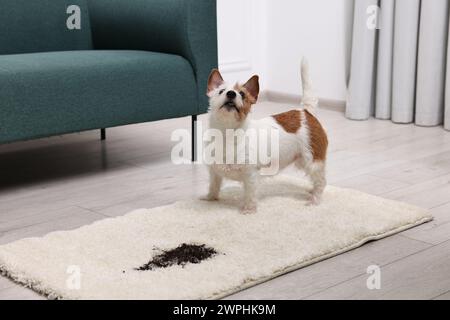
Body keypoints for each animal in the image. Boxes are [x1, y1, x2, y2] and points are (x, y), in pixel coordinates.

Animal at [203, 58, 326, 214]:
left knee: (321, 181)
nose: (231, 94)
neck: (228, 132)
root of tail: (305, 112)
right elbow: (214, 185)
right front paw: (210, 198)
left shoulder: (251, 174)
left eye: (242, 94)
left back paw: (315, 199)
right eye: (221, 91)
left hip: (312, 160)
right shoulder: (214, 172)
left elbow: (250, 193)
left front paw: (248, 210)